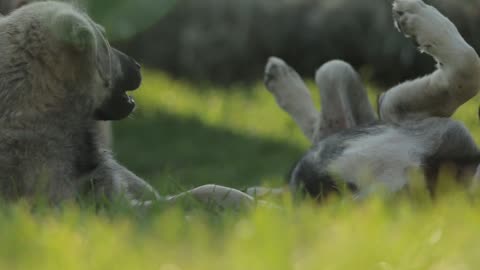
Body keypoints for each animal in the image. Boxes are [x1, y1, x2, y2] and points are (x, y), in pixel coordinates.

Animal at [262, 0, 480, 200]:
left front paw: (416, 16)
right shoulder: (402, 114)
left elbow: (467, 67)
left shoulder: (398, 114)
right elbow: (465, 70)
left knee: (319, 123)